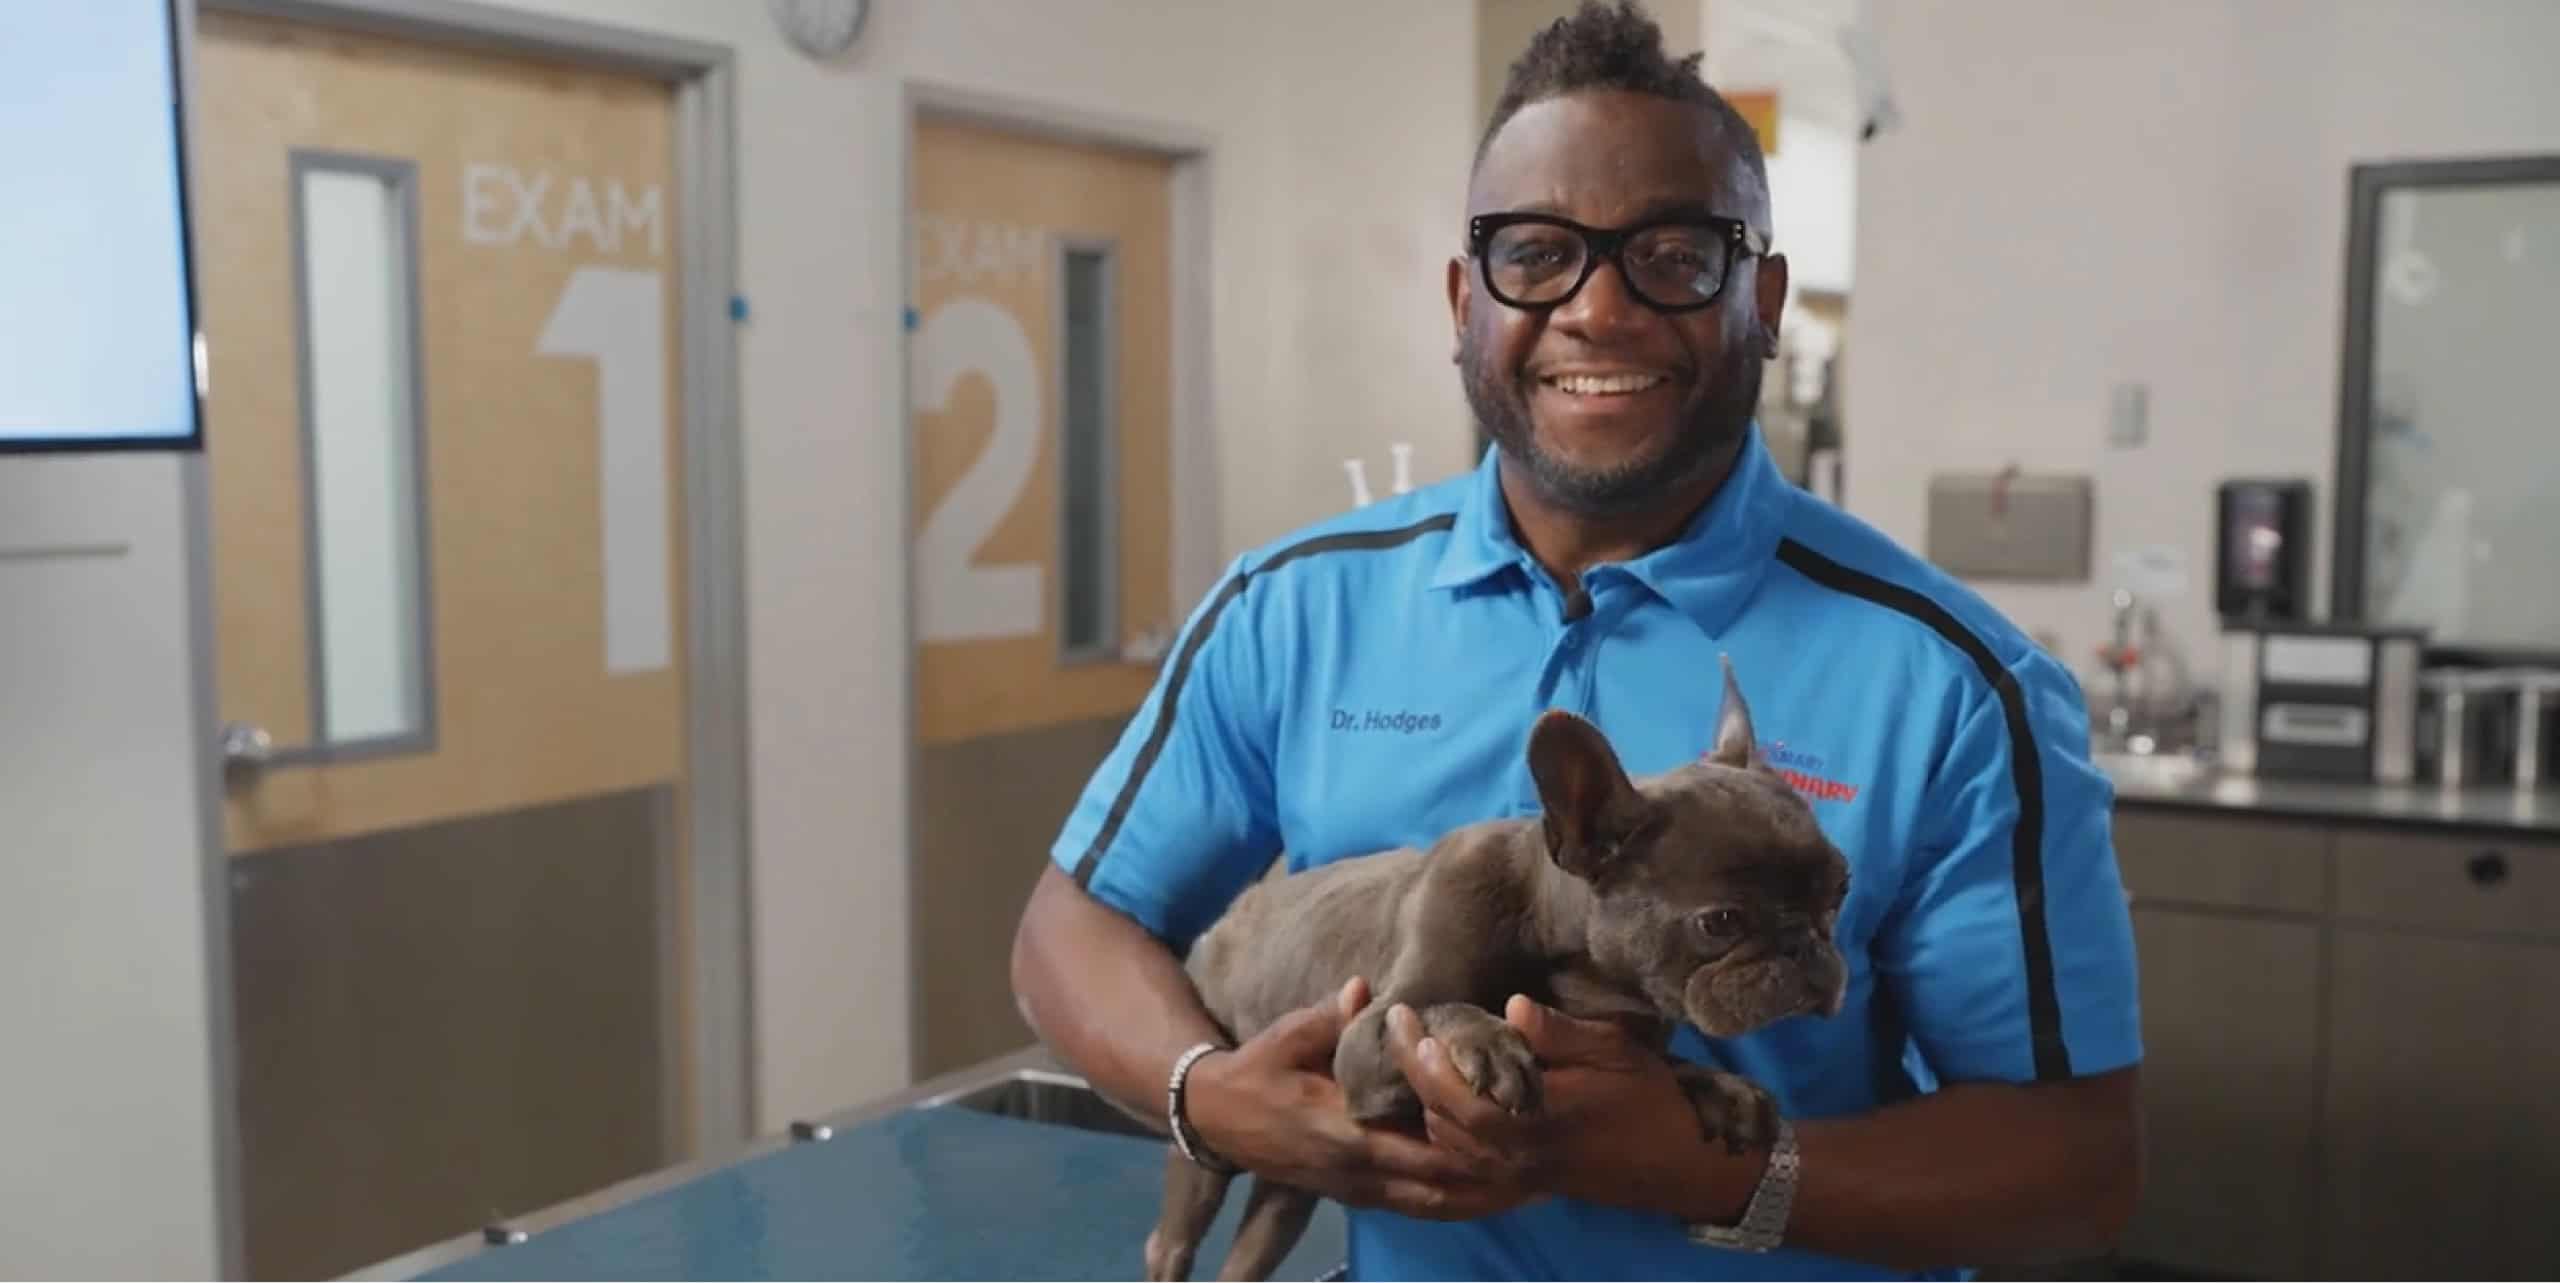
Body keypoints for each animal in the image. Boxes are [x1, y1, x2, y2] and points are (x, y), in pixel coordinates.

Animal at [1152, 655, 1853, 1275]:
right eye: (1721, 922)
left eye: (1839, 893)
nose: (1806, 945)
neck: (1576, 970)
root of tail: (1230, 917)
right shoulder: (1371, 1029)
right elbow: (1440, 1005)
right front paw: (1488, 1043)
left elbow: (1666, 1065)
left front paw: (1718, 1086)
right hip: (1206, 1156)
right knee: (1171, 1242)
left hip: (1291, 1191)